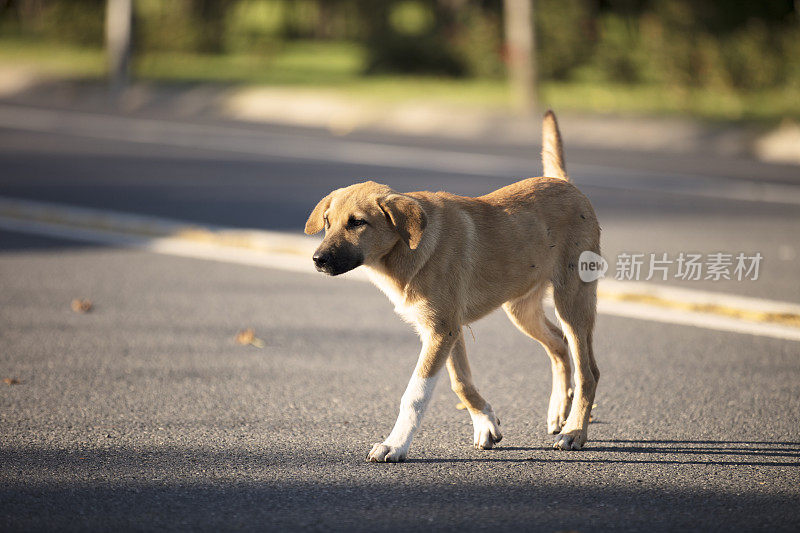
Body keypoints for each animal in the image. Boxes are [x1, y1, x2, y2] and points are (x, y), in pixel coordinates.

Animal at [306, 110, 600, 460]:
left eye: (357, 223)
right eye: (327, 222)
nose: (318, 259)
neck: (406, 249)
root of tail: (566, 183)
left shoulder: (441, 330)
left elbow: (415, 394)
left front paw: (396, 444)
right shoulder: (445, 329)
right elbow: (460, 382)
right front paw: (487, 422)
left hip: (572, 300)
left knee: (588, 371)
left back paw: (574, 431)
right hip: (521, 309)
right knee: (557, 344)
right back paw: (558, 411)